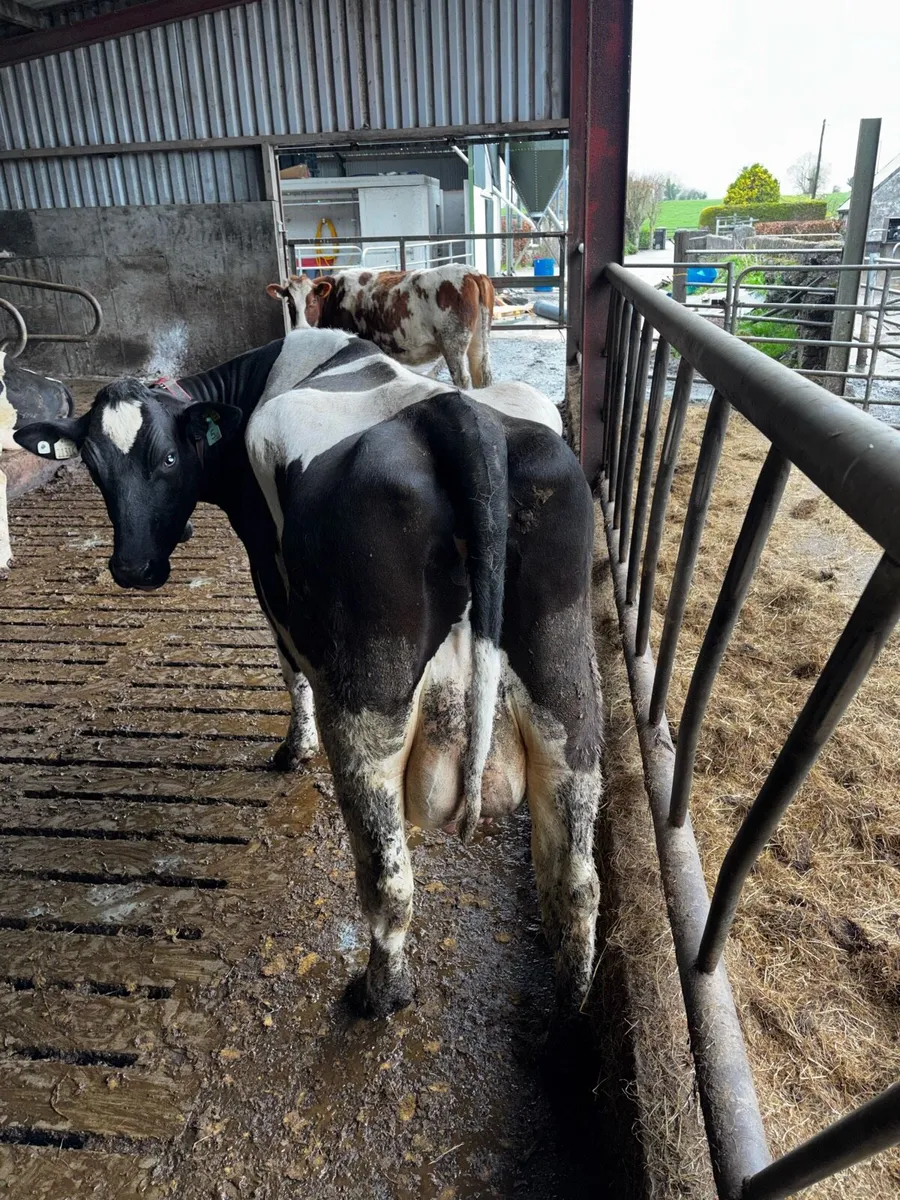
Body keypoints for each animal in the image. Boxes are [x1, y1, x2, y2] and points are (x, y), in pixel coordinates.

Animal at [14, 329, 601, 1021]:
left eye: (167, 458)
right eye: (94, 465)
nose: (133, 567)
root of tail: (454, 414)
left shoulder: (267, 577)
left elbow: (289, 667)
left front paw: (294, 750)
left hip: (367, 701)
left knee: (389, 876)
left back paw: (380, 992)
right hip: (565, 684)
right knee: (575, 872)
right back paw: (569, 1001)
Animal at [266, 264, 494, 390]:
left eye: (312, 301)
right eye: (289, 303)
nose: (301, 328)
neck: (336, 296)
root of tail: (472, 274)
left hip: (453, 342)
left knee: (462, 378)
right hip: (479, 340)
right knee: (481, 374)